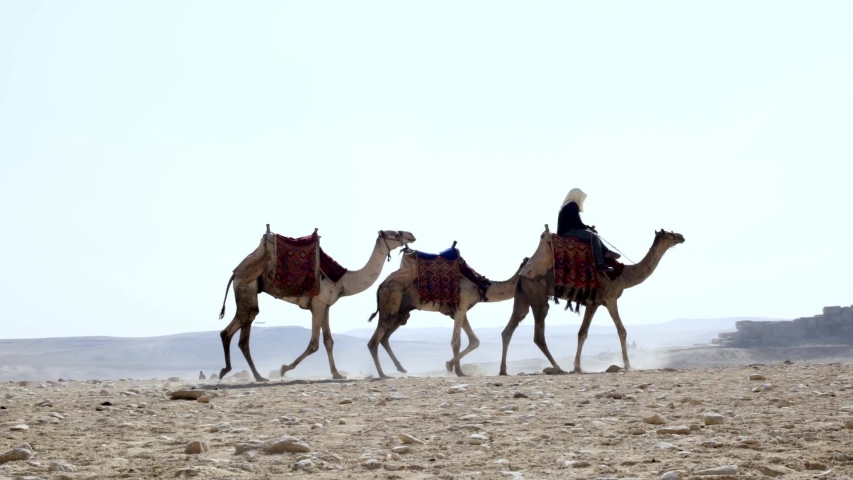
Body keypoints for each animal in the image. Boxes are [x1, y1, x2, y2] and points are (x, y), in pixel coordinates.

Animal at [218, 228, 414, 382]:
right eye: (395, 233)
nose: (411, 235)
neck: (343, 280)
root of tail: (235, 273)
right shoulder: (318, 305)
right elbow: (314, 343)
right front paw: (284, 368)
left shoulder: (325, 306)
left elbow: (328, 341)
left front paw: (336, 374)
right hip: (247, 285)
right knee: (237, 325)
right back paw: (229, 371)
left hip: (249, 291)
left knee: (243, 332)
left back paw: (256, 376)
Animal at [364, 248, 524, 378]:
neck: (481, 286)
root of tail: (381, 285)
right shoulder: (461, 306)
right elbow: (456, 341)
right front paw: (459, 372)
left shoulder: (459, 311)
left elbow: (474, 341)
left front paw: (449, 365)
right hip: (390, 302)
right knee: (374, 341)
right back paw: (382, 374)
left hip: (402, 313)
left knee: (385, 337)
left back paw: (400, 369)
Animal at [500, 227, 684, 376]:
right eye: (670, 233)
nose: (681, 236)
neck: (624, 275)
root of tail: (523, 273)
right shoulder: (610, 298)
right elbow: (622, 331)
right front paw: (628, 365)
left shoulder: (593, 303)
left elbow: (582, 333)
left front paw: (577, 367)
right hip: (538, 295)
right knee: (538, 335)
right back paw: (558, 368)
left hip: (522, 296)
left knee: (509, 328)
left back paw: (503, 370)